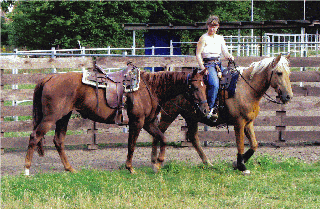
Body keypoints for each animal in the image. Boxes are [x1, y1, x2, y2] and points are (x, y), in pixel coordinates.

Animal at [25, 68, 210, 175]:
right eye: (194, 87)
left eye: (205, 86)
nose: (206, 109)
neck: (149, 88)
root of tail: (49, 78)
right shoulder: (137, 122)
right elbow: (132, 145)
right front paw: (130, 168)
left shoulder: (149, 123)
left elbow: (163, 138)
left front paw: (158, 164)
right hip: (51, 118)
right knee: (34, 137)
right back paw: (26, 169)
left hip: (64, 117)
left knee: (58, 141)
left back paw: (70, 168)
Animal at [152, 54, 292, 175]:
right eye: (279, 73)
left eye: (289, 73)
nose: (288, 96)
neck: (245, 89)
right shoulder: (239, 123)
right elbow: (240, 144)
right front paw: (241, 166)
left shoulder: (248, 123)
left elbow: (254, 145)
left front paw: (237, 163)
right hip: (169, 114)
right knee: (158, 132)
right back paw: (155, 162)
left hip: (191, 117)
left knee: (193, 137)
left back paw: (207, 163)